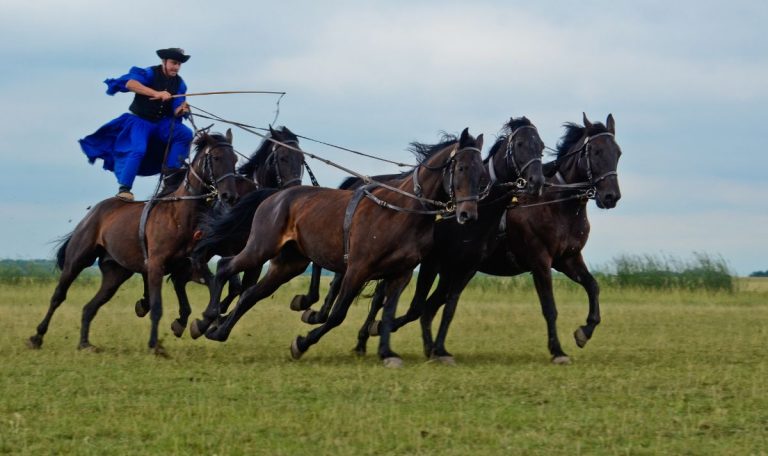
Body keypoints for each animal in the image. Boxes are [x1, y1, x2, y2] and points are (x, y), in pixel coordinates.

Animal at [27, 130, 238, 354]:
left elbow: (212, 288)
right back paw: (37, 337)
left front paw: (199, 324)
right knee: (58, 296)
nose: (230, 196)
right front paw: (155, 345)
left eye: (235, 159)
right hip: (77, 260)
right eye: (216, 158)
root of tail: (92, 214)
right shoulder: (156, 265)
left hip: (115, 274)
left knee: (90, 307)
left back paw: (85, 343)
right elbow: (157, 306)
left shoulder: (191, 266)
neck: (180, 216)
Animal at [191, 128, 486, 366]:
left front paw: (387, 352)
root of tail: (276, 195)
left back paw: (218, 331)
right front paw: (301, 343)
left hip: (289, 264)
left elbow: (388, 312)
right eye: (461, 168)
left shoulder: (400, 274)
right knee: (225, 267)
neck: (401, 211)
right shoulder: (357, 268)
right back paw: (208, 317)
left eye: (481, 172)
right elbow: (337, 315)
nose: (468, 215)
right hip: (260, 248)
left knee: (251, 294)